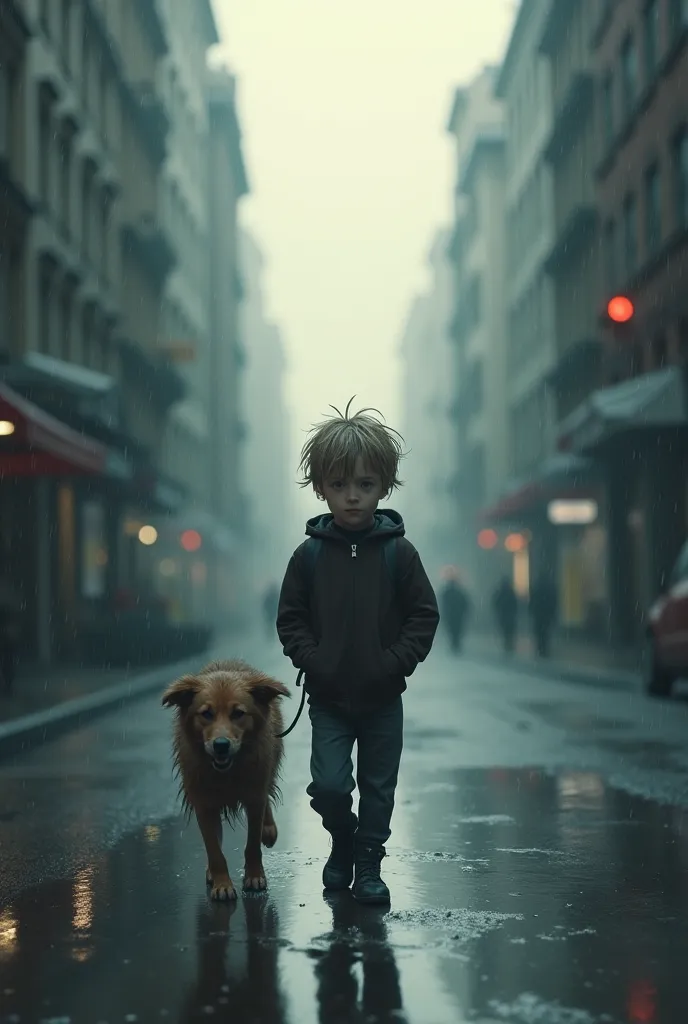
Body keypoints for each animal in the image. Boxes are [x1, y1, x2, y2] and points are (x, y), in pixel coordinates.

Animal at [162, 659, 288, 901]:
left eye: (238, 713)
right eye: (207, 714)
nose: (221, 745)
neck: (226, 772)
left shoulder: (254, 797)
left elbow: (252, 845)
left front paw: (254, 876)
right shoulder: (203, 803)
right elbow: (214, 850)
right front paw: (222, 884)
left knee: (267, 796)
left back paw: (269, 830)